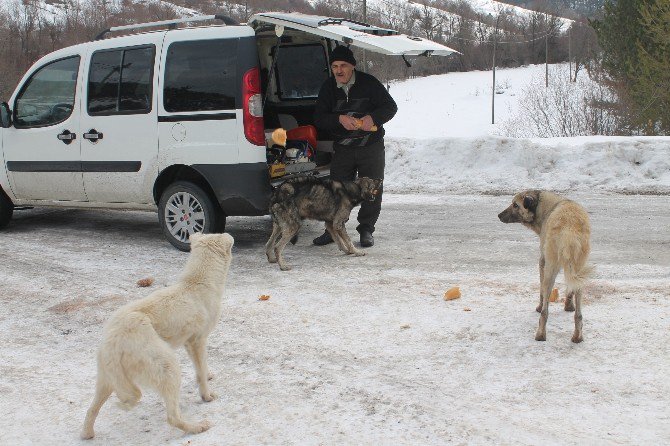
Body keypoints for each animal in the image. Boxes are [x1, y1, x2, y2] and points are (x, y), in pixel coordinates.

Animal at [81, 233, 235, 440]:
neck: (196, 282)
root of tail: (113, 340)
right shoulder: (198, 341)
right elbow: (201, 371)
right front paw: (207, 396)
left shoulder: (189, 343)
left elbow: (200, 367)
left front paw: (207, 374)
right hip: (168, 366)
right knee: (172, 417)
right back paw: (197, 427)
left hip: (107, 379)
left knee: (91, 410)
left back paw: (87, 434)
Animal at [498, 190, 592, 344]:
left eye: (515, 205)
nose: (499, 215)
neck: (547, 206)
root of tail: (569, 228)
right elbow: (570, 289)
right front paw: (568, 306)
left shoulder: (542, 262)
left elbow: (541, 291)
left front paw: (539, 306)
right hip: (579, 270)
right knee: (579, 314)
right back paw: (577, 336)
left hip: (550, 270)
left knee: (545, 311)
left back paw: (540, 334)